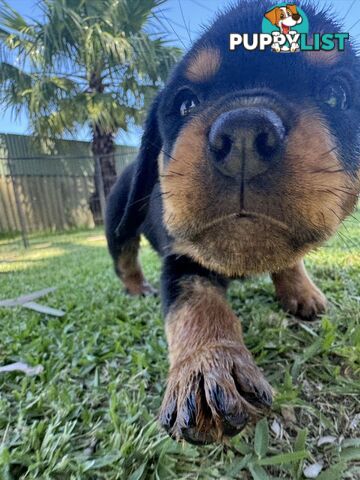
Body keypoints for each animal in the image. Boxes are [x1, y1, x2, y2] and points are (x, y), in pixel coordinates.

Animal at [105, 0, 360, 444]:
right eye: (186, 104)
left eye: (336, 94)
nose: (242, 135)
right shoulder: (182, 258)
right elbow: (196, 305)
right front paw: (206, 367)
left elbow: (289, 258)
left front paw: (300, 290)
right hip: (117, 220)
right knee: (124, 257)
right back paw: (137, 288)